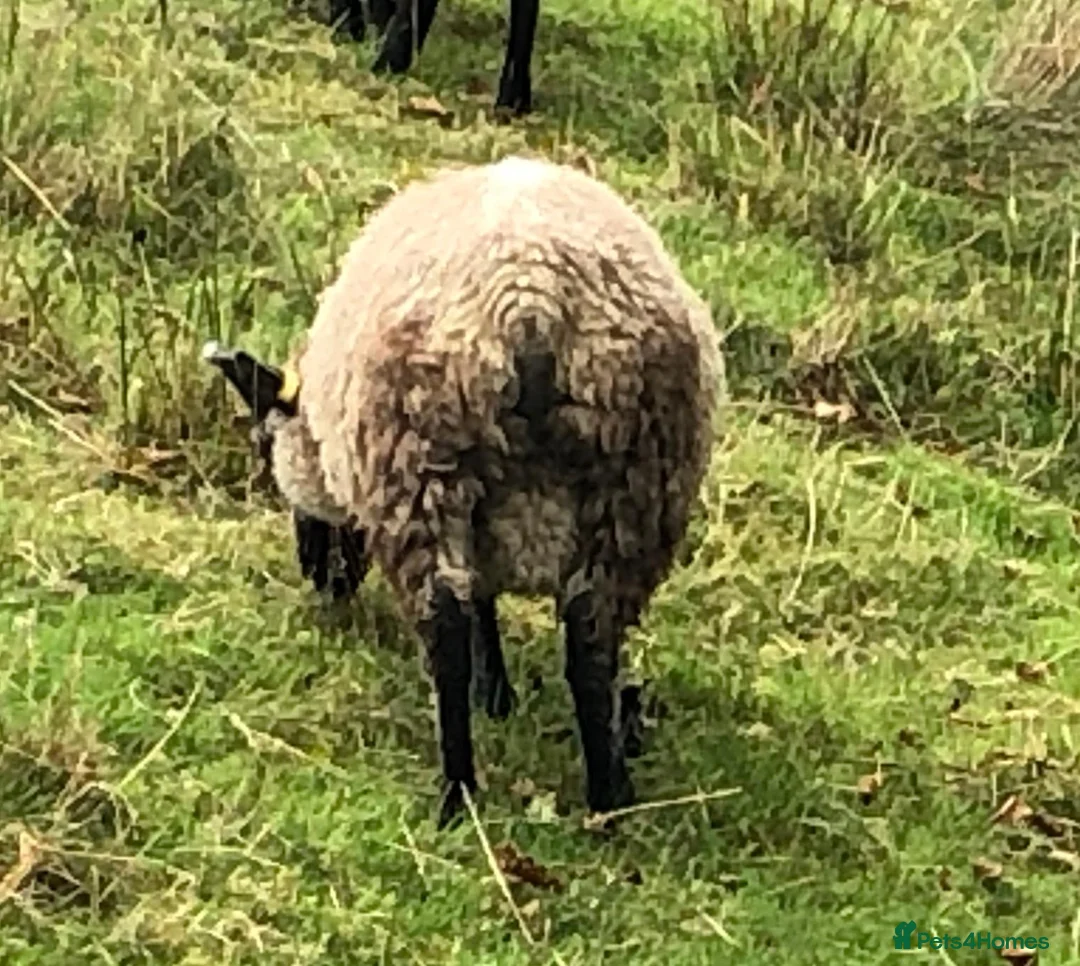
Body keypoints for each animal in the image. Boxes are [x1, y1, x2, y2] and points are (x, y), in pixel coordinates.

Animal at [204, 155, 725, 828]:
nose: (318, 575)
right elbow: (492, 602)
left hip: (419, 472)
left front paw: (487, 691)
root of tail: (532, 303)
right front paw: (499, 693)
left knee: (445, 623)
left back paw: (456, 794)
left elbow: (473, 608)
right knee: (592, 639)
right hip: (636, 489)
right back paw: (607, 798)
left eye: (265, 445)